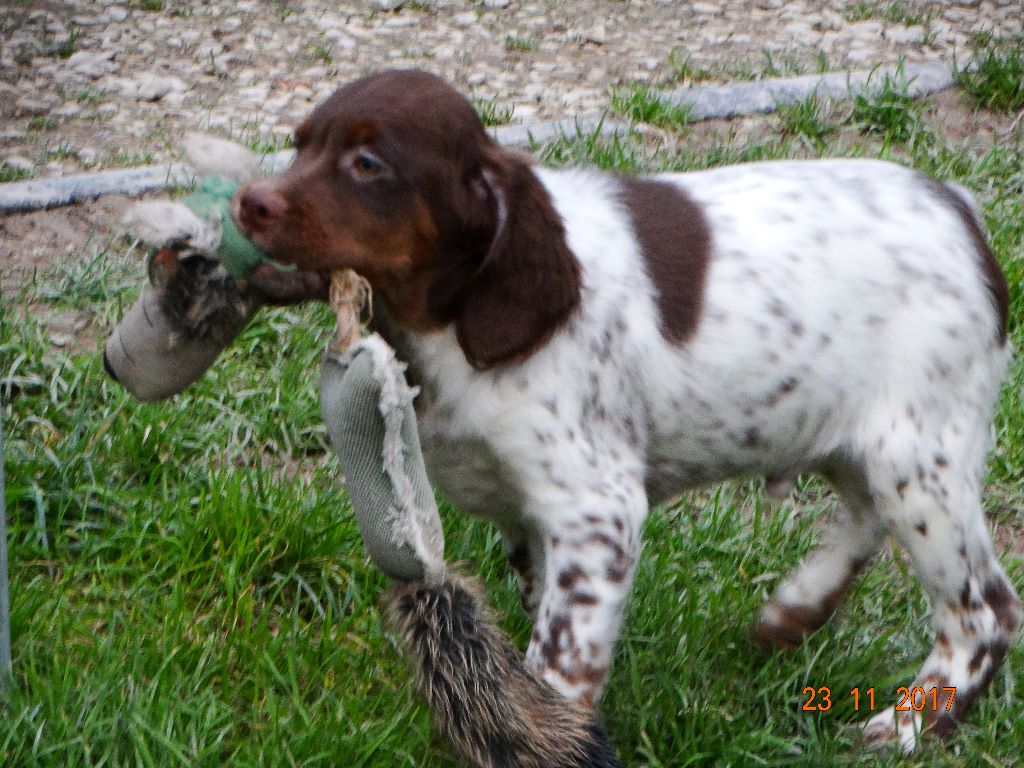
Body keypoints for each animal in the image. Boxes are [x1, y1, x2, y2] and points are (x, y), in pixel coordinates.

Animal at [234, 68, 1020, 754]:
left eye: (367, 163)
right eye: (299, 144)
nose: (249, 202)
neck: (450, 324)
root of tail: (962, 212)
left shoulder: (593, 508)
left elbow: (559, 657)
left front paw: (541, 739)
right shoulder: (532, 514)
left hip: (917, 453)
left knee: (984, 609)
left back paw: (911, 725)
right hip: (864, 437)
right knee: (864, 515)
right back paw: (795, 610)